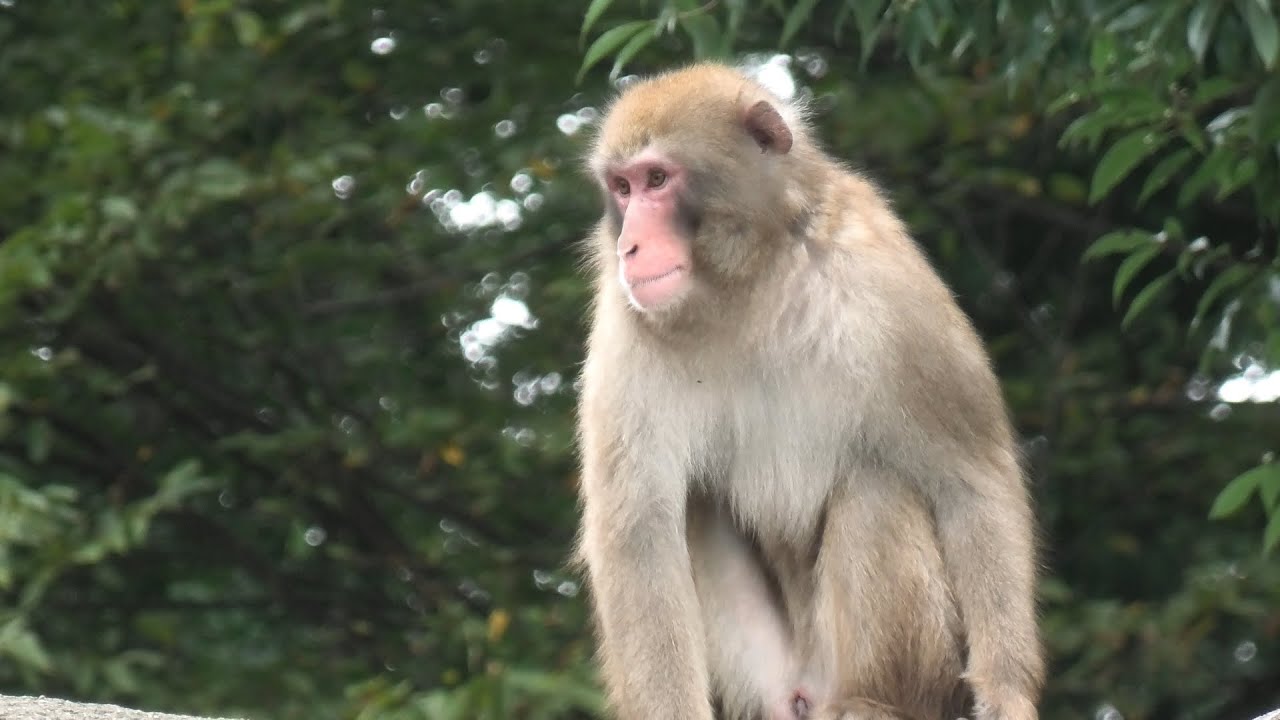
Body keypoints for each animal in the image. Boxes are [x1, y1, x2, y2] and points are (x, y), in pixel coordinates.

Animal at [572, 62, 1044, 720]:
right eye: (621, 187)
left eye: (657, 179)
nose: (629, 246)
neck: (750, 279)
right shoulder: (625, 325)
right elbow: (639, 533)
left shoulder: (887, 284)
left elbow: (972, 481)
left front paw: (1007, 690)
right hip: (772, 677)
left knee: (876, 491)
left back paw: (875, 701)